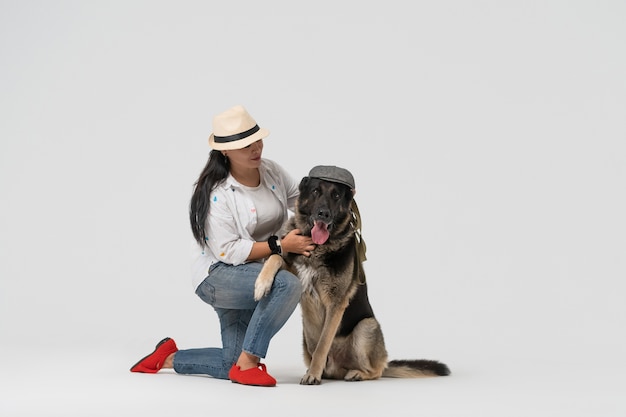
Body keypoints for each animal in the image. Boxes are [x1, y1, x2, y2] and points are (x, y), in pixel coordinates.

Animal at [254, 165, 448, 384]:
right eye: (315, 191)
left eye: (336, 195)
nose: (324, 214)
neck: (318, 248)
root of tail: (336, 369)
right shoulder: (296, 272)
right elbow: (275, 257)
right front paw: (261, 284)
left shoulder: (336, 304)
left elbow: (322, 345)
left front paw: (313, 375)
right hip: (305, 342)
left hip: (367, 326)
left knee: (376, 370)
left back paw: (355, 373)